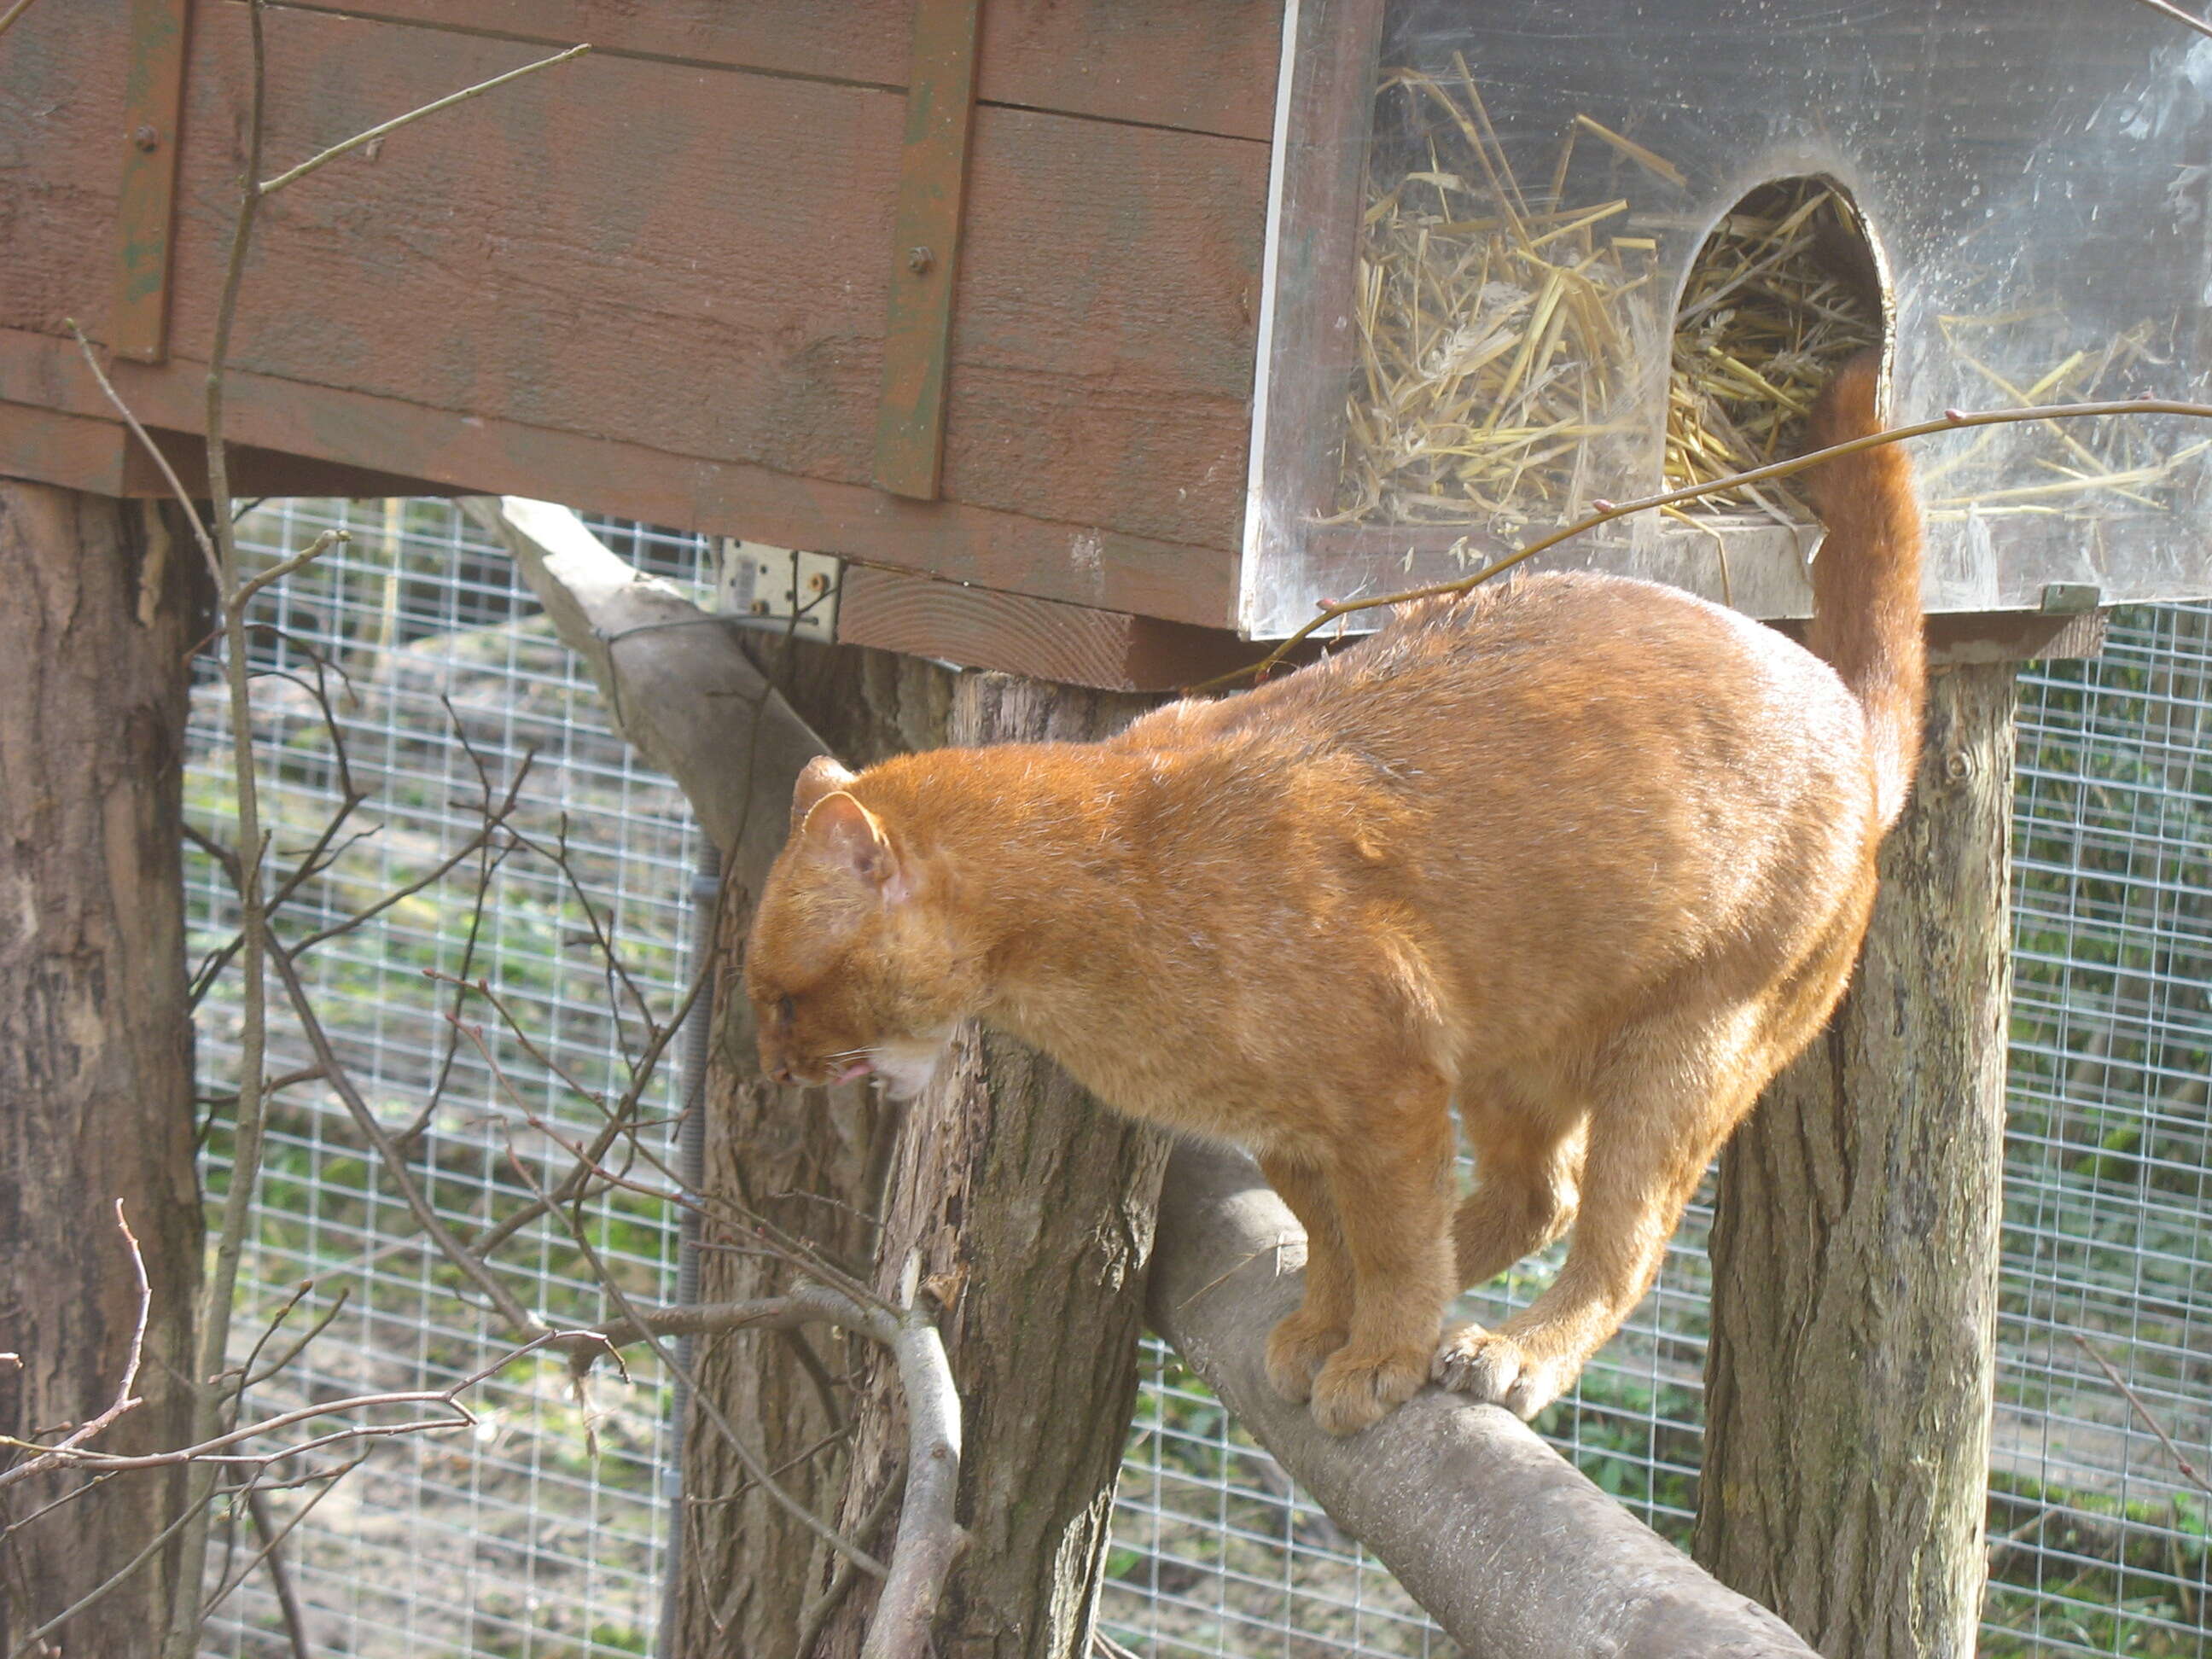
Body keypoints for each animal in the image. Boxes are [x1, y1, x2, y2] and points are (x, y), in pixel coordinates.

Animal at [742, 353, 1919, 1441]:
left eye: (785, 998)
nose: (773, 1070)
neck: (1102, 875)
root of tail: (1843, 713)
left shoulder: (1384, 1091)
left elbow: (1391, 1238)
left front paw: (1381, 1356)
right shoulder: (1296, 1122)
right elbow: (1341, 1233)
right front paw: (1325, 1324)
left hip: (1691, 1048)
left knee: (1619, 1240)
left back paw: (1512, 1350)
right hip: (1516, 1050)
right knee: (1541, 1196)